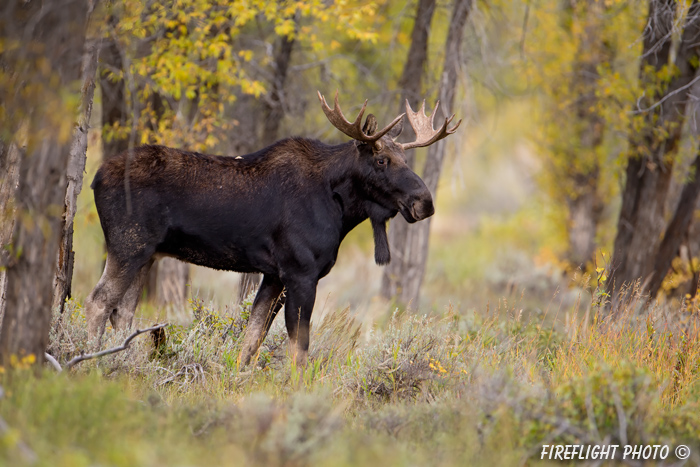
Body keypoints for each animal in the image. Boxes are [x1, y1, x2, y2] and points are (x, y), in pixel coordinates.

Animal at [86, 92, 460, 366]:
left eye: (406, 160)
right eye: (382, 160)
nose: (425, 202)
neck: (340, 209)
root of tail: (95, 178)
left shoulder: (273, 275)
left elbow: (252, 339)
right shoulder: (300, 273)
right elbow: (299, 347)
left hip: (148, 255)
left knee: (123, 311)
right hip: (128, 247)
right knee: (98, 302)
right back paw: (89, 362)